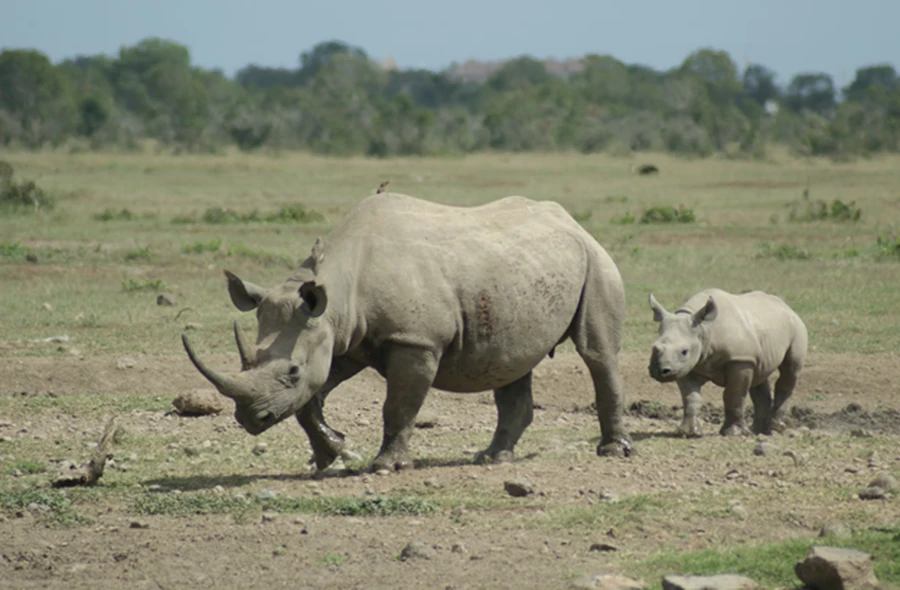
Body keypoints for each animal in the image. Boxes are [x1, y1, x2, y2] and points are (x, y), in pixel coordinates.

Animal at [182, 192, 633, 472]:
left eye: (291, 371)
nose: (250, 419)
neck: (338, 288)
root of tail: (571, 220)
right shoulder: (341, 337)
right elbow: (311, 401)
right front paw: (331, 454)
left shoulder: (415, 341)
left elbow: (397, 406)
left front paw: (386, 467)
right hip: (520, 271)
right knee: (511, 360)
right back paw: (491, 459)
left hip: (596, 259)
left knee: (596, 353)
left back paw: (612, 452)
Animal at [647, 288, 808, 437]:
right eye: (654, 347)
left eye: (684, 351)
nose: (661, 371)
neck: (704, 329)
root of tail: (786, 306)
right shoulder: (685, 366)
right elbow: (691, 397)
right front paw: (688, 432)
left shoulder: (740, 359)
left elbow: (733, 395)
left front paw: (733, 433)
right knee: (759, 376)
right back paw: (757, 431)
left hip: (796, 327)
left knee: (790, 369)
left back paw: (777, 427)